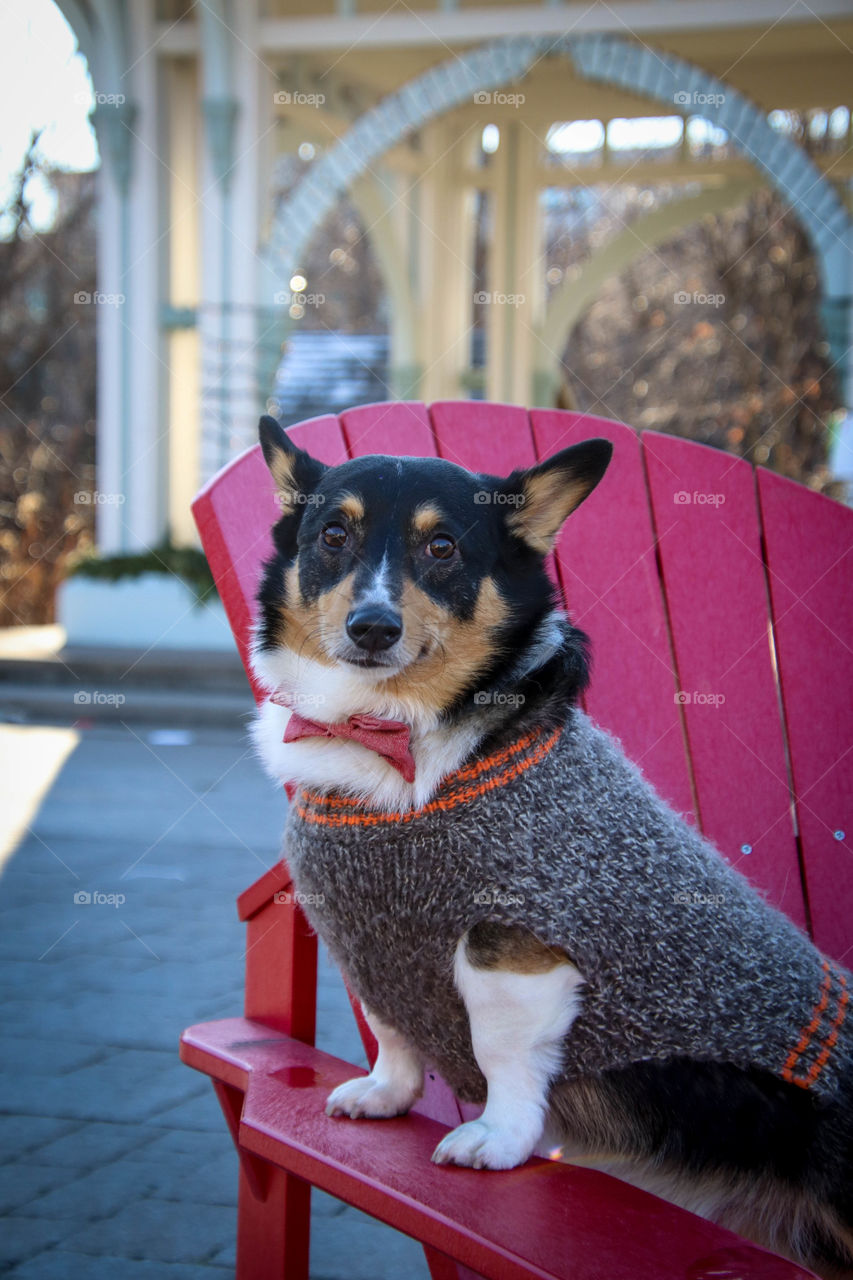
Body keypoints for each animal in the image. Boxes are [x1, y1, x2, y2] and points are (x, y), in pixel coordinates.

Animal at [251, 414, 850, 1274]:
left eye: (443, 548)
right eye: (333, 535)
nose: (372, 628)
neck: (392, 735)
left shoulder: (513, 948)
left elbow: (501, 1053)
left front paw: (498, 1140)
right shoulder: (361, 938)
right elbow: (391, 1027)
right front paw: (386, 1094)